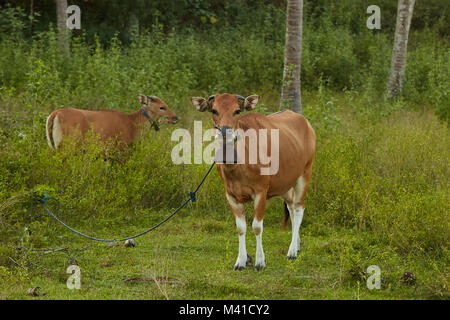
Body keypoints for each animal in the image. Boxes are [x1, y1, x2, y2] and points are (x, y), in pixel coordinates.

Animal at [45, 94, 178, 149]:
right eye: (162, 107)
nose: (176, 117)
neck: (132, 126)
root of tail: (55, 113)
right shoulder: (121, 149)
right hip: (67, 145)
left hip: (53, 146)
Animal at [192, 92, 314, 270]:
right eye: (214, 110)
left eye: (237, 111)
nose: (225, 132)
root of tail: (305, 123)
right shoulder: (230, 195)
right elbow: (241, 228)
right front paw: (241, 261)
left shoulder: (261, 193)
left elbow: (256, 227)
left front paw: (260, 261)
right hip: (286, 183)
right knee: (291, 208)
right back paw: (296, 244)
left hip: (304, 174)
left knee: (298, 209)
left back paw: (292, 252)